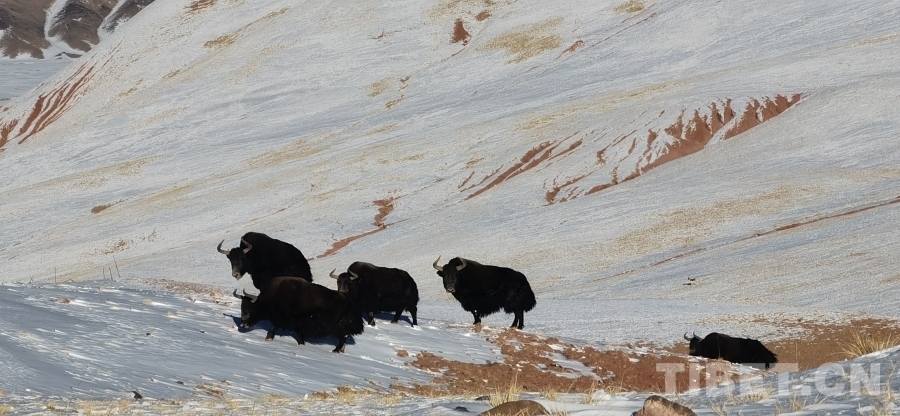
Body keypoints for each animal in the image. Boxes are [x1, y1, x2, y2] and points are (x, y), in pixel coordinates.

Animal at [232, 276, 364, 353]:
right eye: (241, 307)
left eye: (250, 309)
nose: (242, 325)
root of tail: (351, 304)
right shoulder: (296, 323)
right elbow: (299, 334)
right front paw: (301, 344)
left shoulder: (284, 318)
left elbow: (274, 326)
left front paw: (268, 338)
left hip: (341, 325)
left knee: (343, 336)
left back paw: (336, 350)